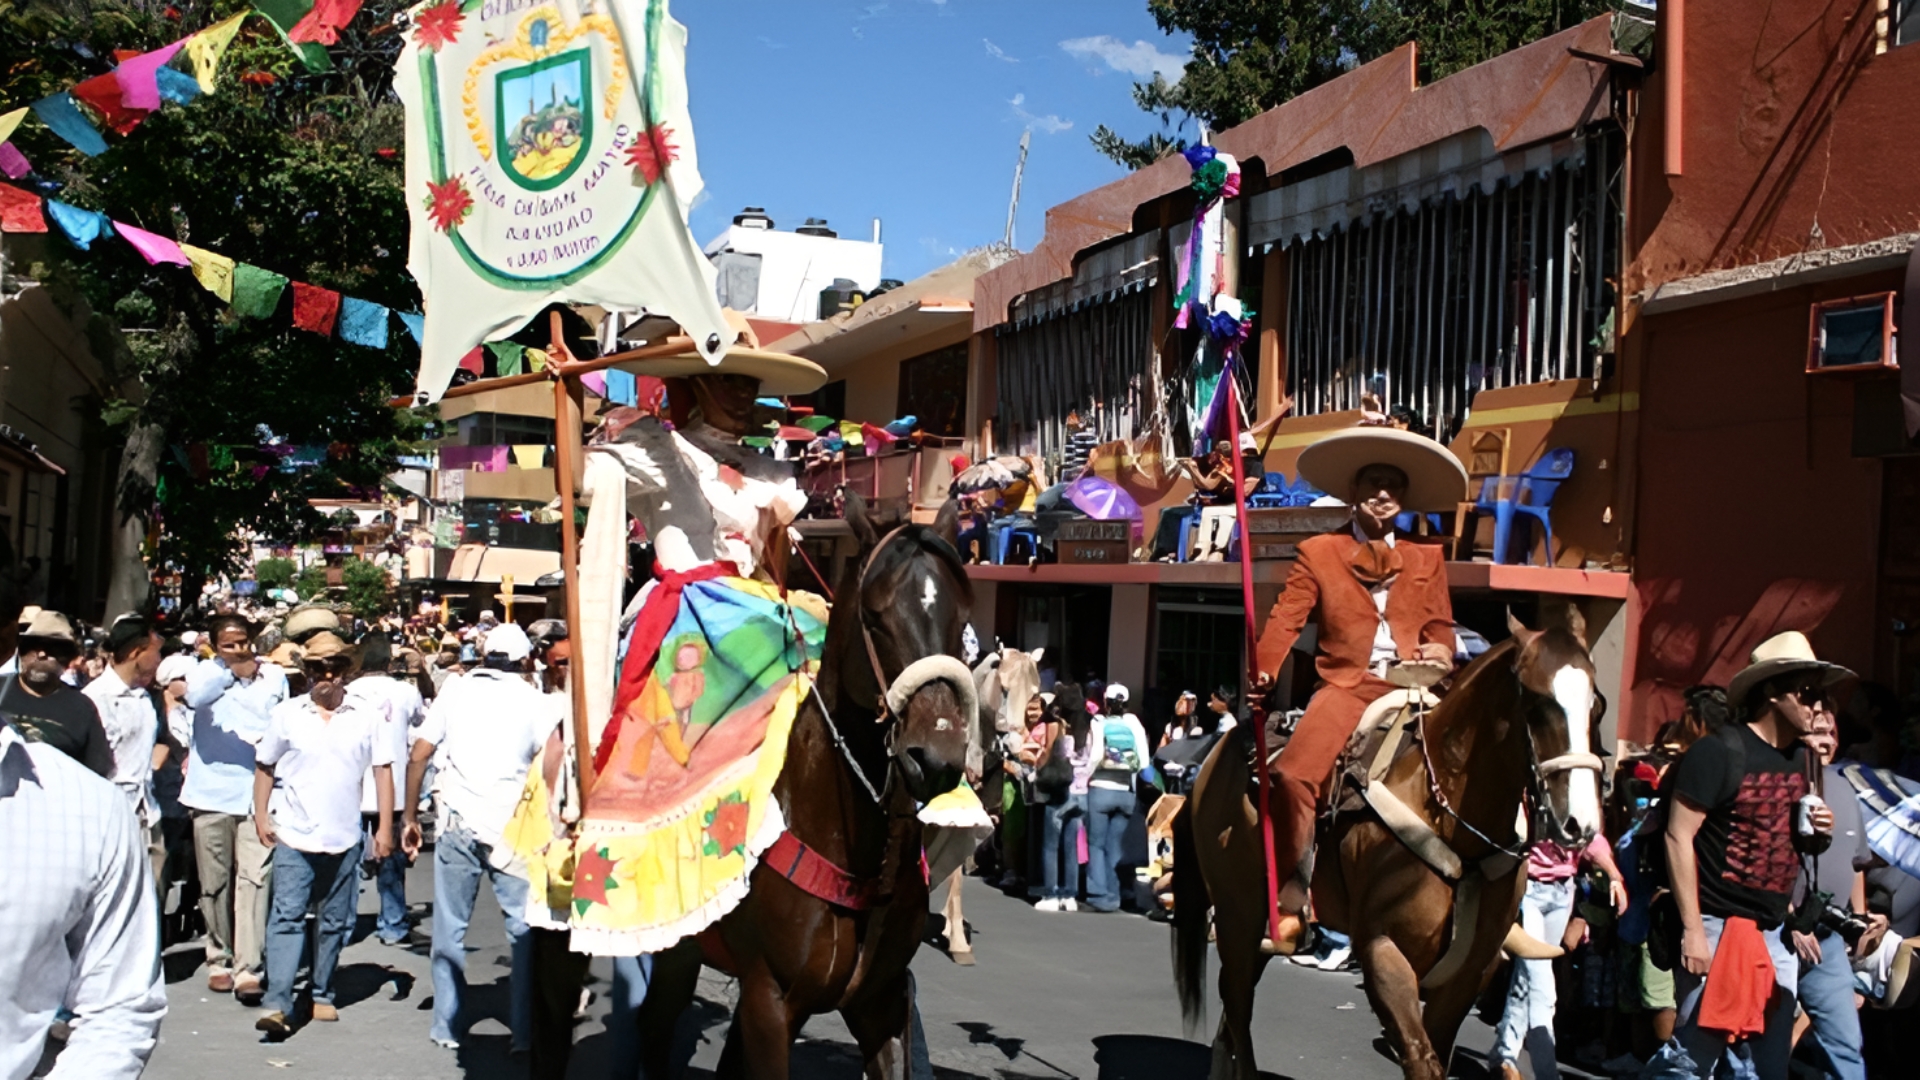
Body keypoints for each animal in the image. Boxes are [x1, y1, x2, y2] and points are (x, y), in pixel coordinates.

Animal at [637, 491, 983, 1068]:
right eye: (875, 617)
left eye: (962, 619)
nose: (935, 758)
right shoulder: (770, 1001)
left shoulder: (881, 1004)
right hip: (675, 952)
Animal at [1167, 614, 1605, 1076]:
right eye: (1538, 702)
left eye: (1596, 706)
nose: (1581, 824)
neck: (1451, 820)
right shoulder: (1383, 953)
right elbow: (1420, 1056)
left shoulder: (1471, 971)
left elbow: (1437, 1051)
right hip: (1237, 914)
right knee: (1237, 1003)